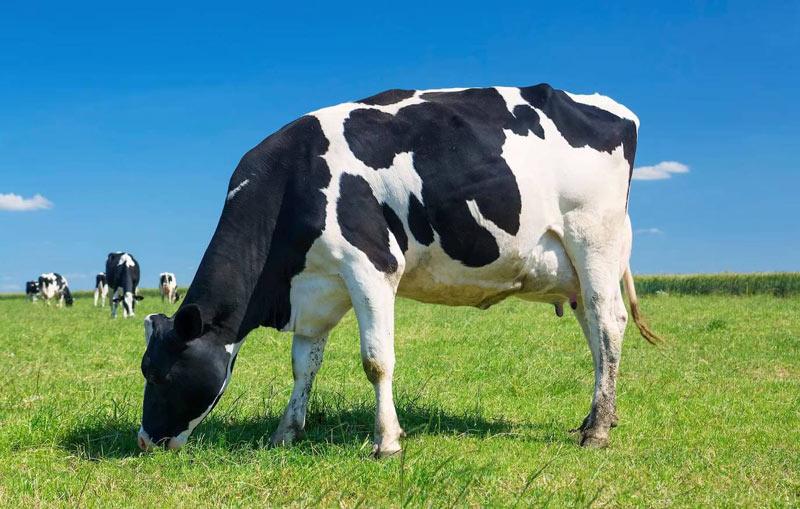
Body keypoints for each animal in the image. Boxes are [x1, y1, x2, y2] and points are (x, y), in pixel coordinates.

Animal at [138, 84, 660, 455]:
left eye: (159, 375)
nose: (144, 441)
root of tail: (610, 107)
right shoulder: (316, 288)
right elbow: (303, 365)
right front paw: (286, 432)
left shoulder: (371, 267)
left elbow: (376, 360)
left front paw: (386, 441)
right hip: (576, 268)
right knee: (595, 333)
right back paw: (599, 416)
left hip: (593, 239)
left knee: (609, 324)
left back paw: (597, 431)